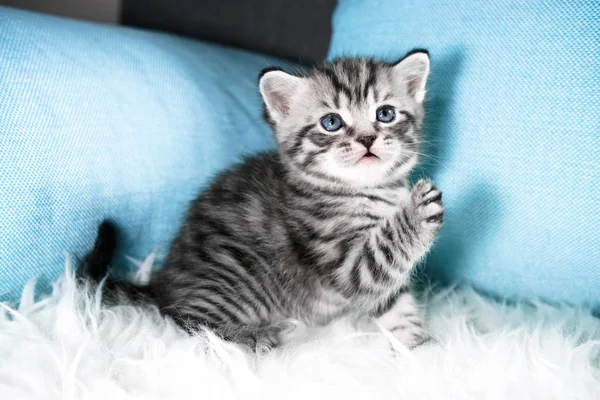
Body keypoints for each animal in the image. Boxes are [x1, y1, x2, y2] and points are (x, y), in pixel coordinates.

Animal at [78, 50, 440, 350]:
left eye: (386, 114)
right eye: (332, 122)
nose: (367, 139)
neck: (370, 190)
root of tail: (162, 283)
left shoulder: (381, 285)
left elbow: (396, 303)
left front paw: (419, 350)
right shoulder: (341, 261)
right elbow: (381, 253)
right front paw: (417, 213)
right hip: (237, 278)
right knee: (185, 321)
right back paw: (252, 335)